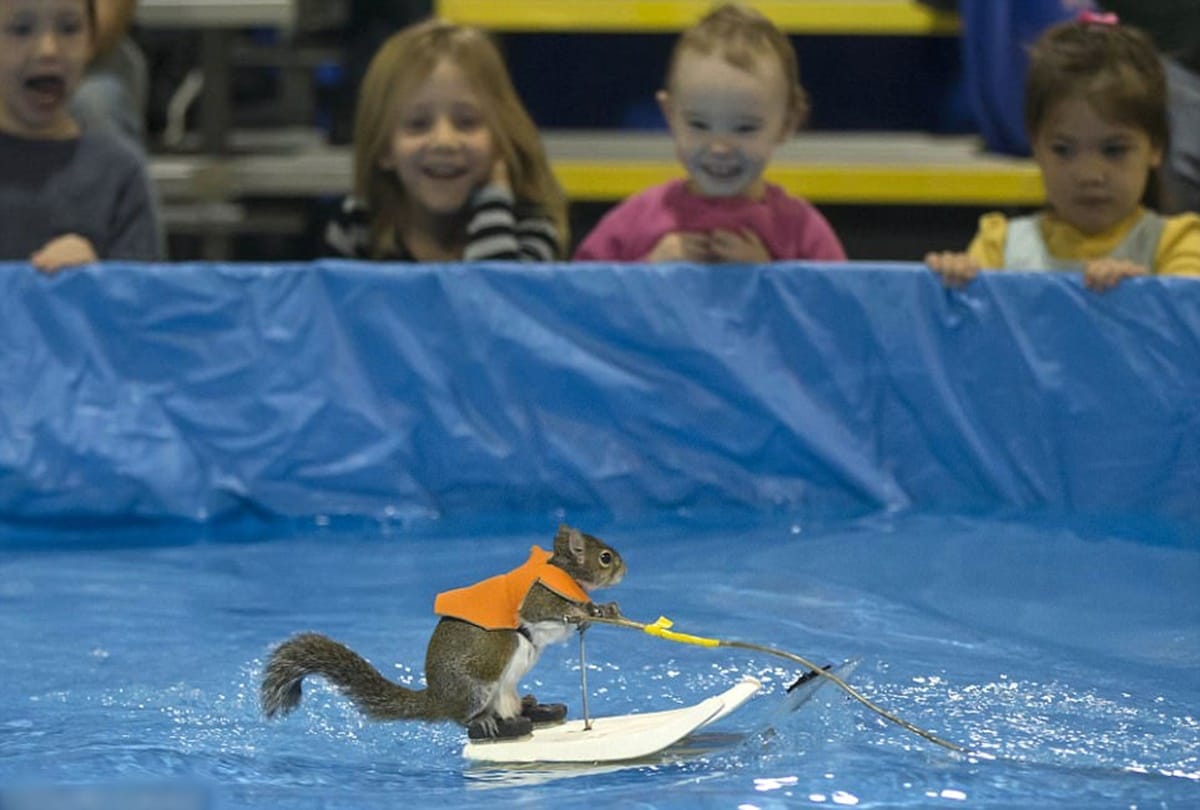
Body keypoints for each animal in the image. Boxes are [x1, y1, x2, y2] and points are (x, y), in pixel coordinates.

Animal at [260, 524, 625, 740]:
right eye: (605, 558)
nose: (624, 569)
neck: (563, 571)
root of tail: (438, 698)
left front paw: (601, 610)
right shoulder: (537, 598)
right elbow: (543, 614)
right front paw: (581, 612)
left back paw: (534, 708)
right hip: (481, 678)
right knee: (463, 717)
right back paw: (485, 722)